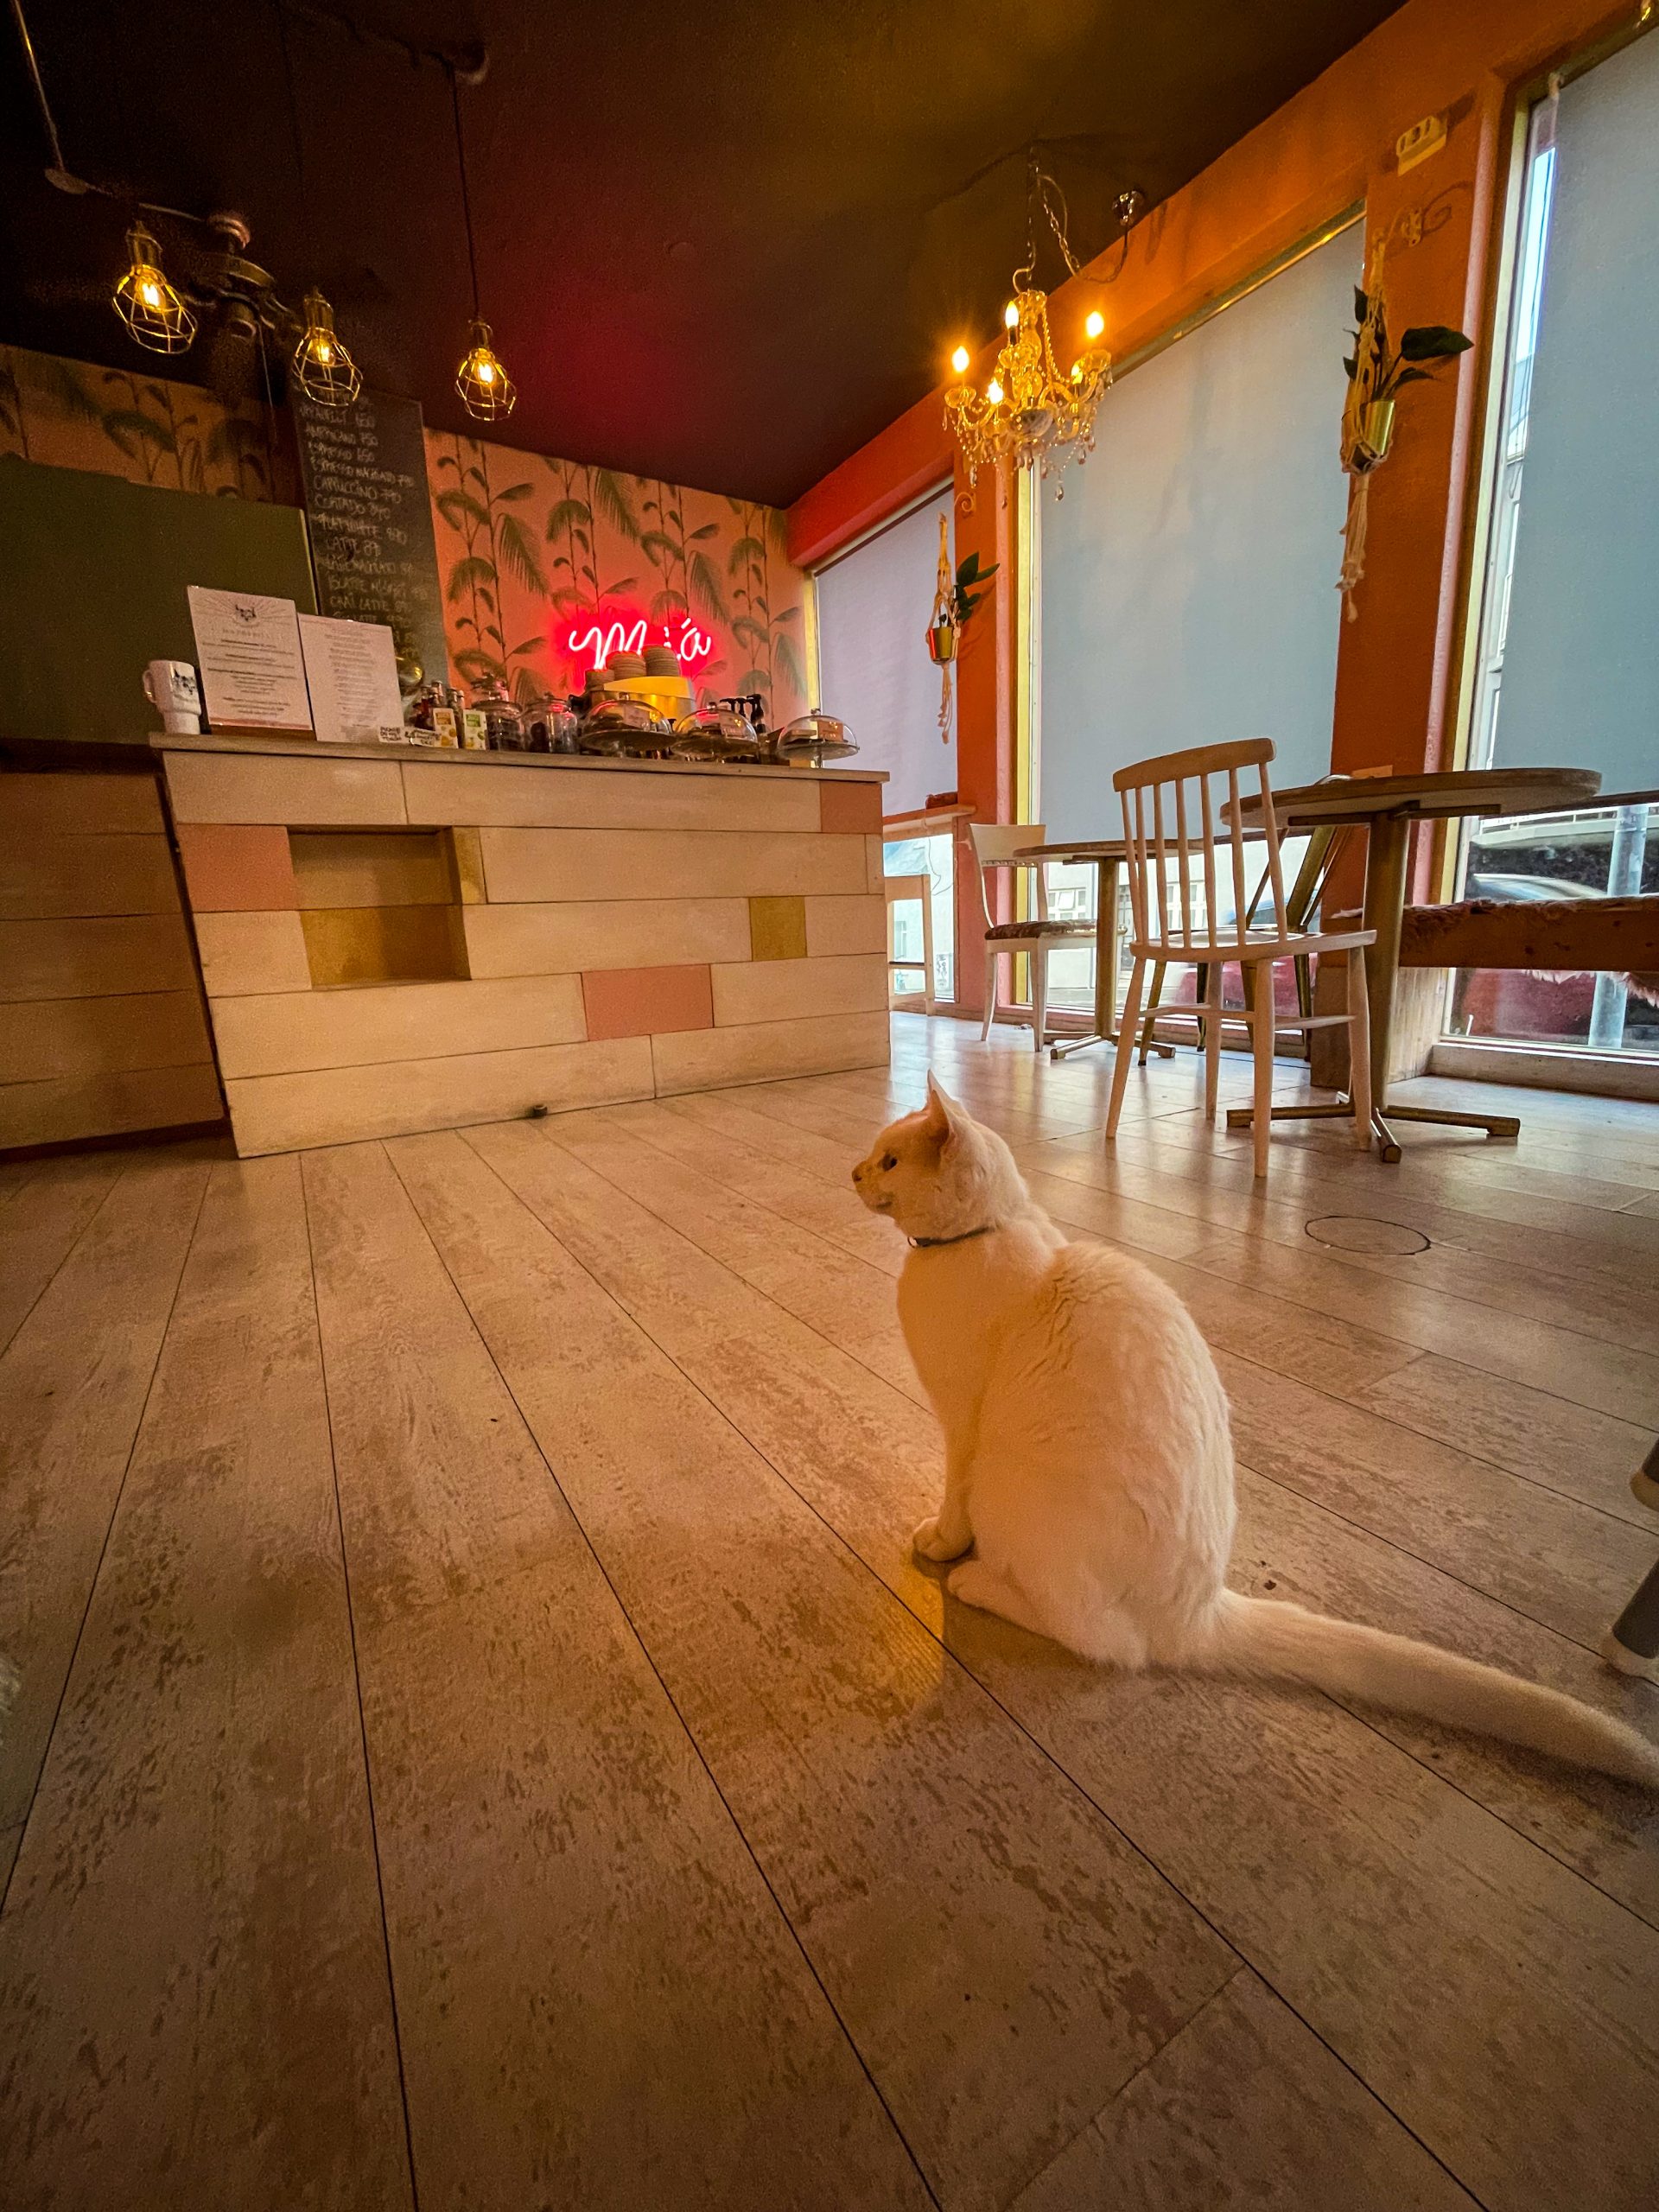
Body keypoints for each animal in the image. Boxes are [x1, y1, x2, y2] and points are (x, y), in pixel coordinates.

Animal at [852, 1073, 1659, 1788]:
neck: (984, 1238)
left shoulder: (960, 1424)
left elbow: (950, 1502)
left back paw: (978, 1582)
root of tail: (1200, 1613)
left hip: (1008, 1485)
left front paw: (938, 1545)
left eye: (890, 1161)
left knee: (1107, 1643)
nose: (854, 1172)